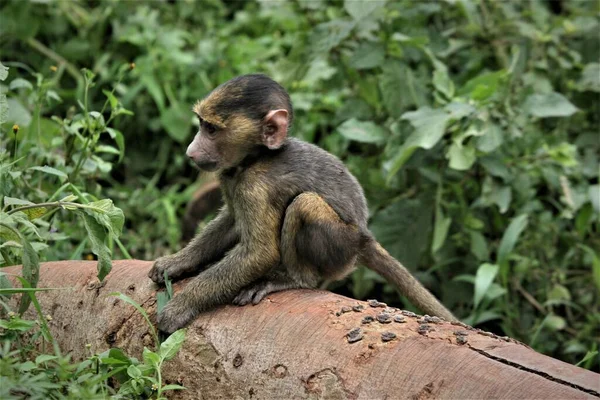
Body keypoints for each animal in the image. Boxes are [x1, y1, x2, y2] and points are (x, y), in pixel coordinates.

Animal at [150, 73, 454, 332]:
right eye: (202, 125)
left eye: (211, 129)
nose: (191, 152)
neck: (255, 158)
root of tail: (364, 236)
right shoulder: (229, 179)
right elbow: (231, 222)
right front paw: (175, 263)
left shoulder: (254, 187)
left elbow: (258, 253)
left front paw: (181, 306)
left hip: (340, 247)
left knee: (304, 204)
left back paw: (291, 280)